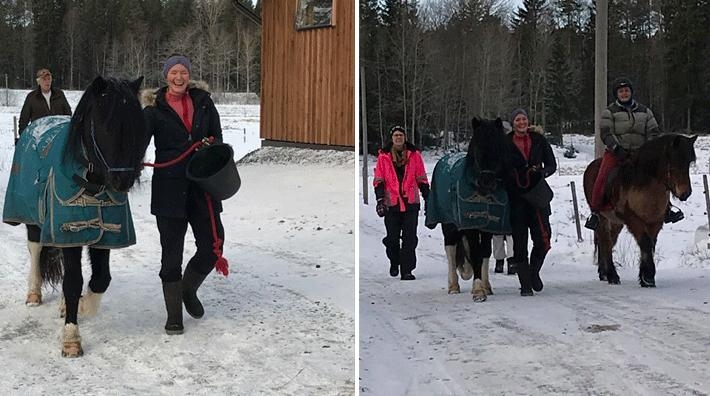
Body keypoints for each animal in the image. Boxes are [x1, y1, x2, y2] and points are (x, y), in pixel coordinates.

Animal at [2, 76, 147, 358]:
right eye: (105, 125)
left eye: (139, 123)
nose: (124, 180)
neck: (91, 181)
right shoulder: (68, 229)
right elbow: (72, 281)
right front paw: (71, 338)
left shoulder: (105, 233)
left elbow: (101, 279)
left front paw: (79, 306)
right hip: (35, 221)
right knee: (35, 250)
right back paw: (34, 294)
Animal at [426, 119, 516, 302]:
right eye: (476, 147)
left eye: (498, 146)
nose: (486, 180)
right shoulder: (471, 225)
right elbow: (475, 253)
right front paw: (478, 291)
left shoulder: (488, 226)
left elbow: (485, 253)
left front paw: (486, 287)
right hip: (449, 224)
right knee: (450, 250)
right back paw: (453, 286)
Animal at [584, 135, 700, 286]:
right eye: (674, 162)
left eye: (689, 163)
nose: (685, 193)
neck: (646, 185)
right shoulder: (632, 219)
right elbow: (645, 242)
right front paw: (648, 277)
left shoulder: (655, 221)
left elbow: (650, 244)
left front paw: (645, 277)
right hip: (602, 217)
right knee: (605, 241)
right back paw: (612, 276)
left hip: (616, 221)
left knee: (610, 241)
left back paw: (604, 273)